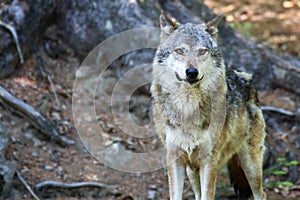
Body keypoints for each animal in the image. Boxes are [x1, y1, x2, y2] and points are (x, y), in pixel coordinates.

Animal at [151, 12, 266, 200]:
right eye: (179, 51)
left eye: (202, 51)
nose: (191, 72)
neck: (188, 107)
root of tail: (246, 78)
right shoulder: (175, 159)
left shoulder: (209, 160)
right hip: (192, 171)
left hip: (251, 166)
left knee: (261, 194)